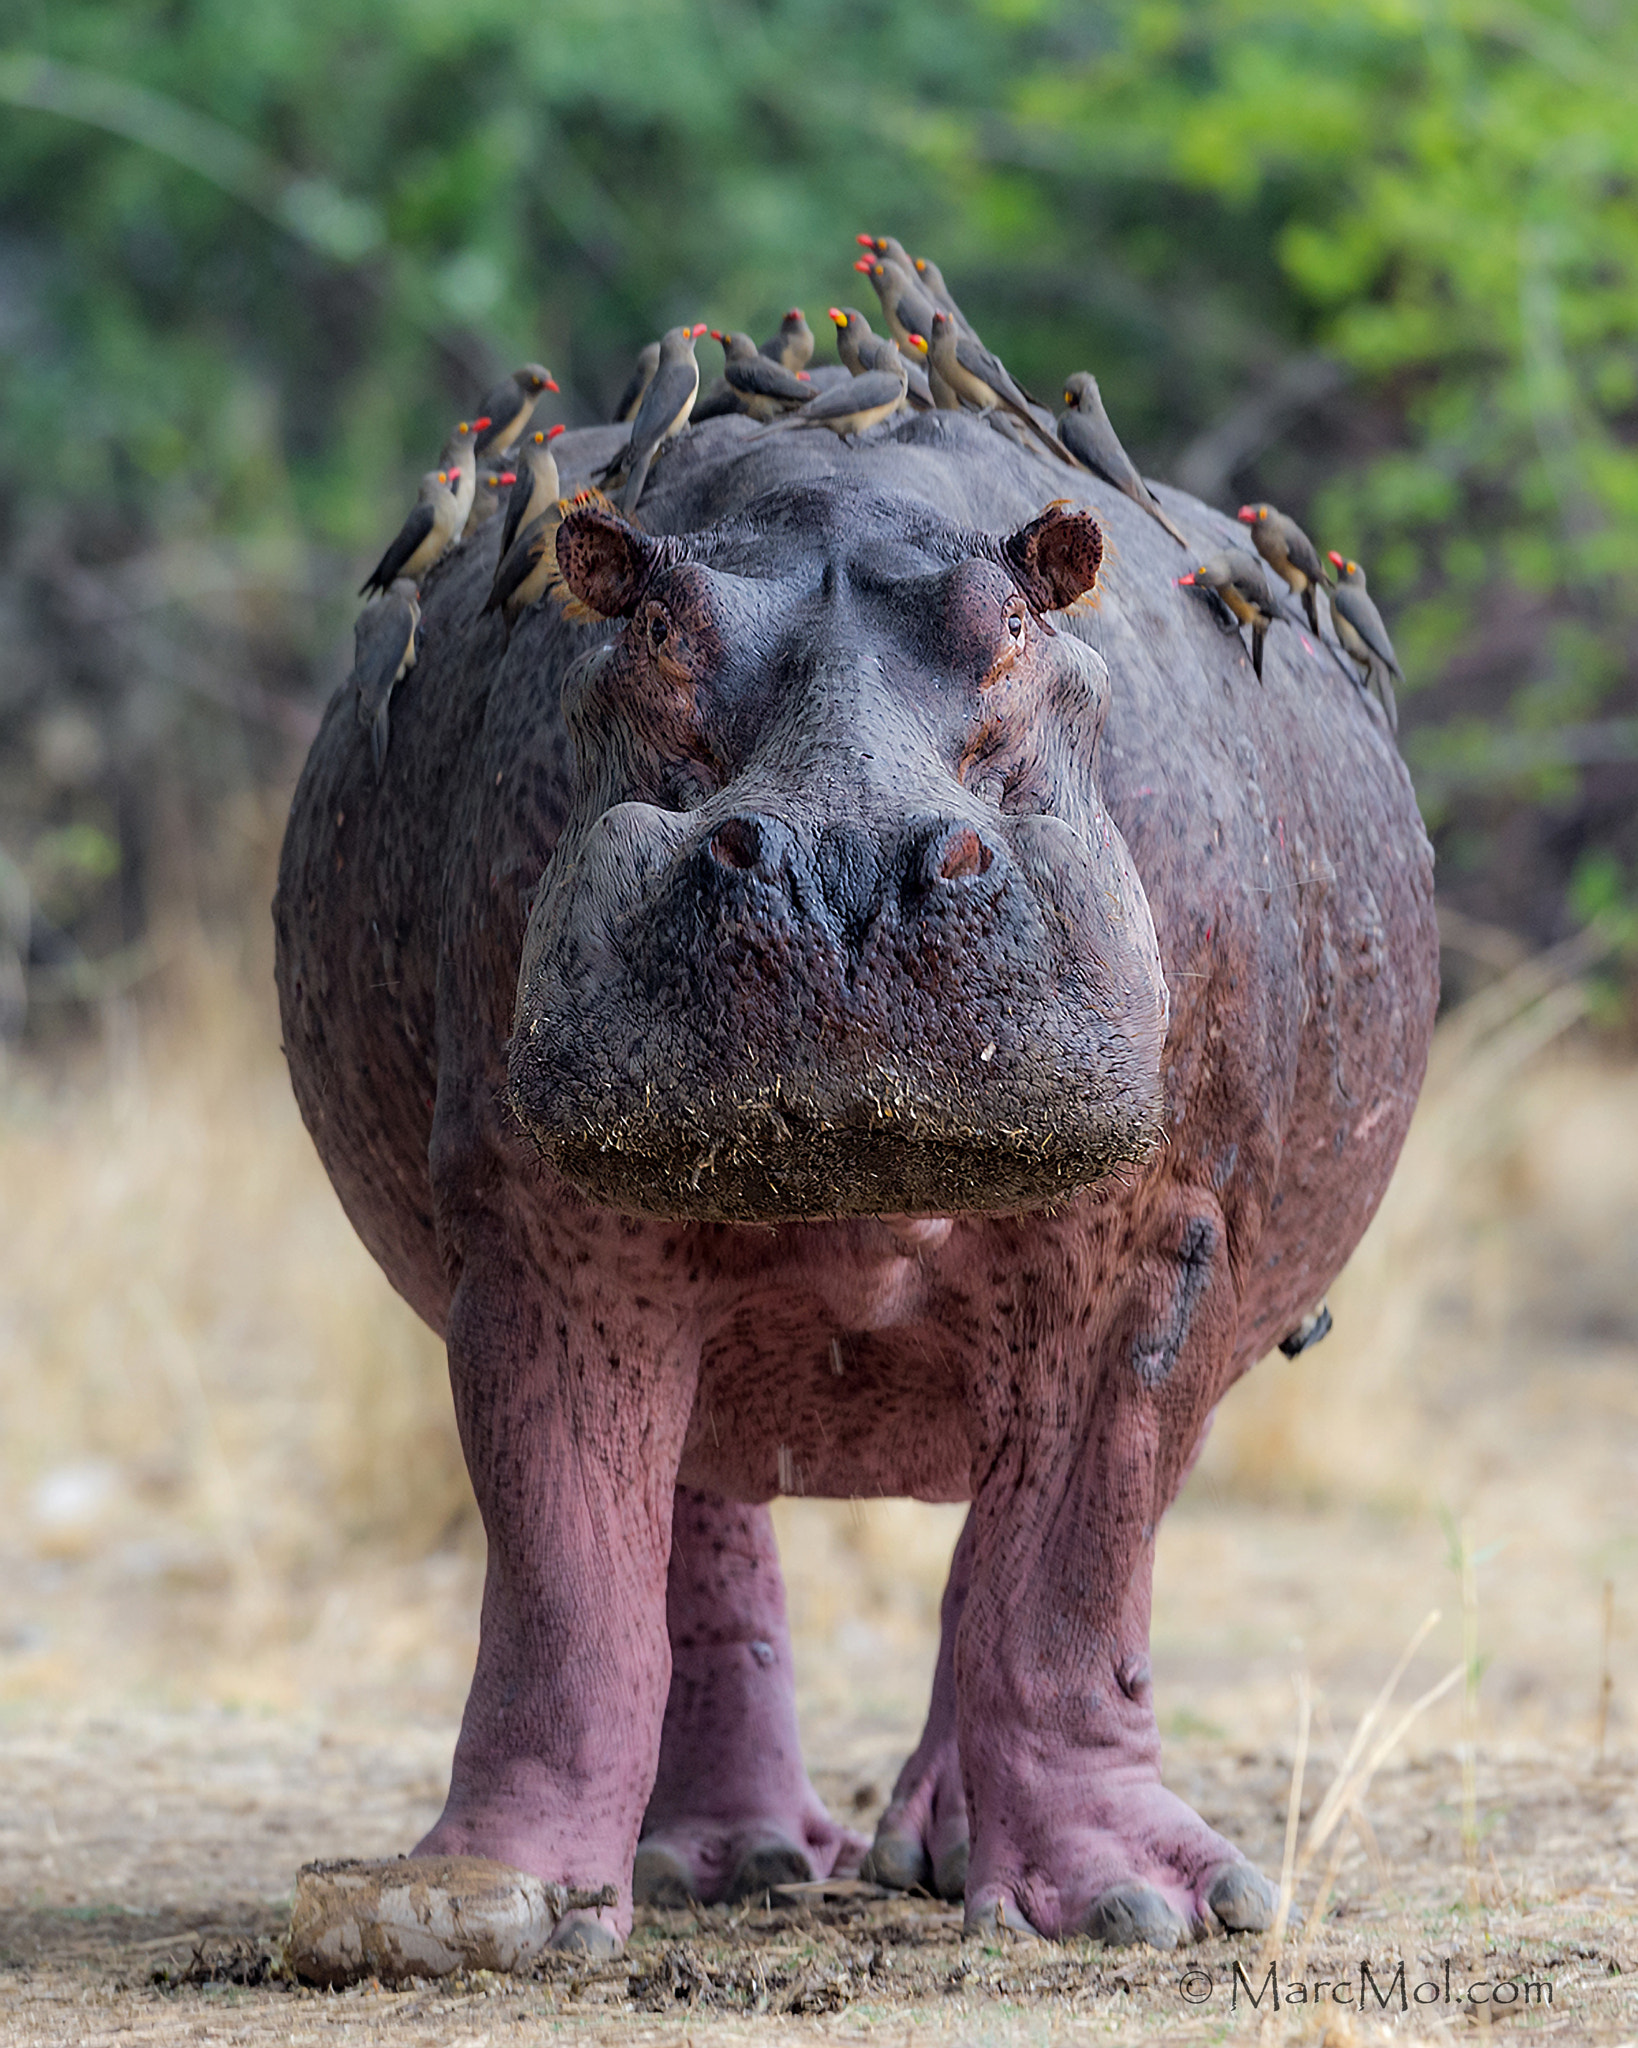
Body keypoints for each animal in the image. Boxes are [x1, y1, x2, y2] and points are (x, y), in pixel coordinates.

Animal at [274, 398, 1438, 1960]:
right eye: (648, 625)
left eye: (1016, 623)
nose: (839, 863)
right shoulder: (538, 1228)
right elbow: (564, 1573)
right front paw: (470, 1904)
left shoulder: (1145, 1235)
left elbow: (1064, 1575)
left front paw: (1135, 1908)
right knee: (700, 1530)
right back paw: (727, 1862)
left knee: (1031, 1551)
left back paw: (946, 1855)